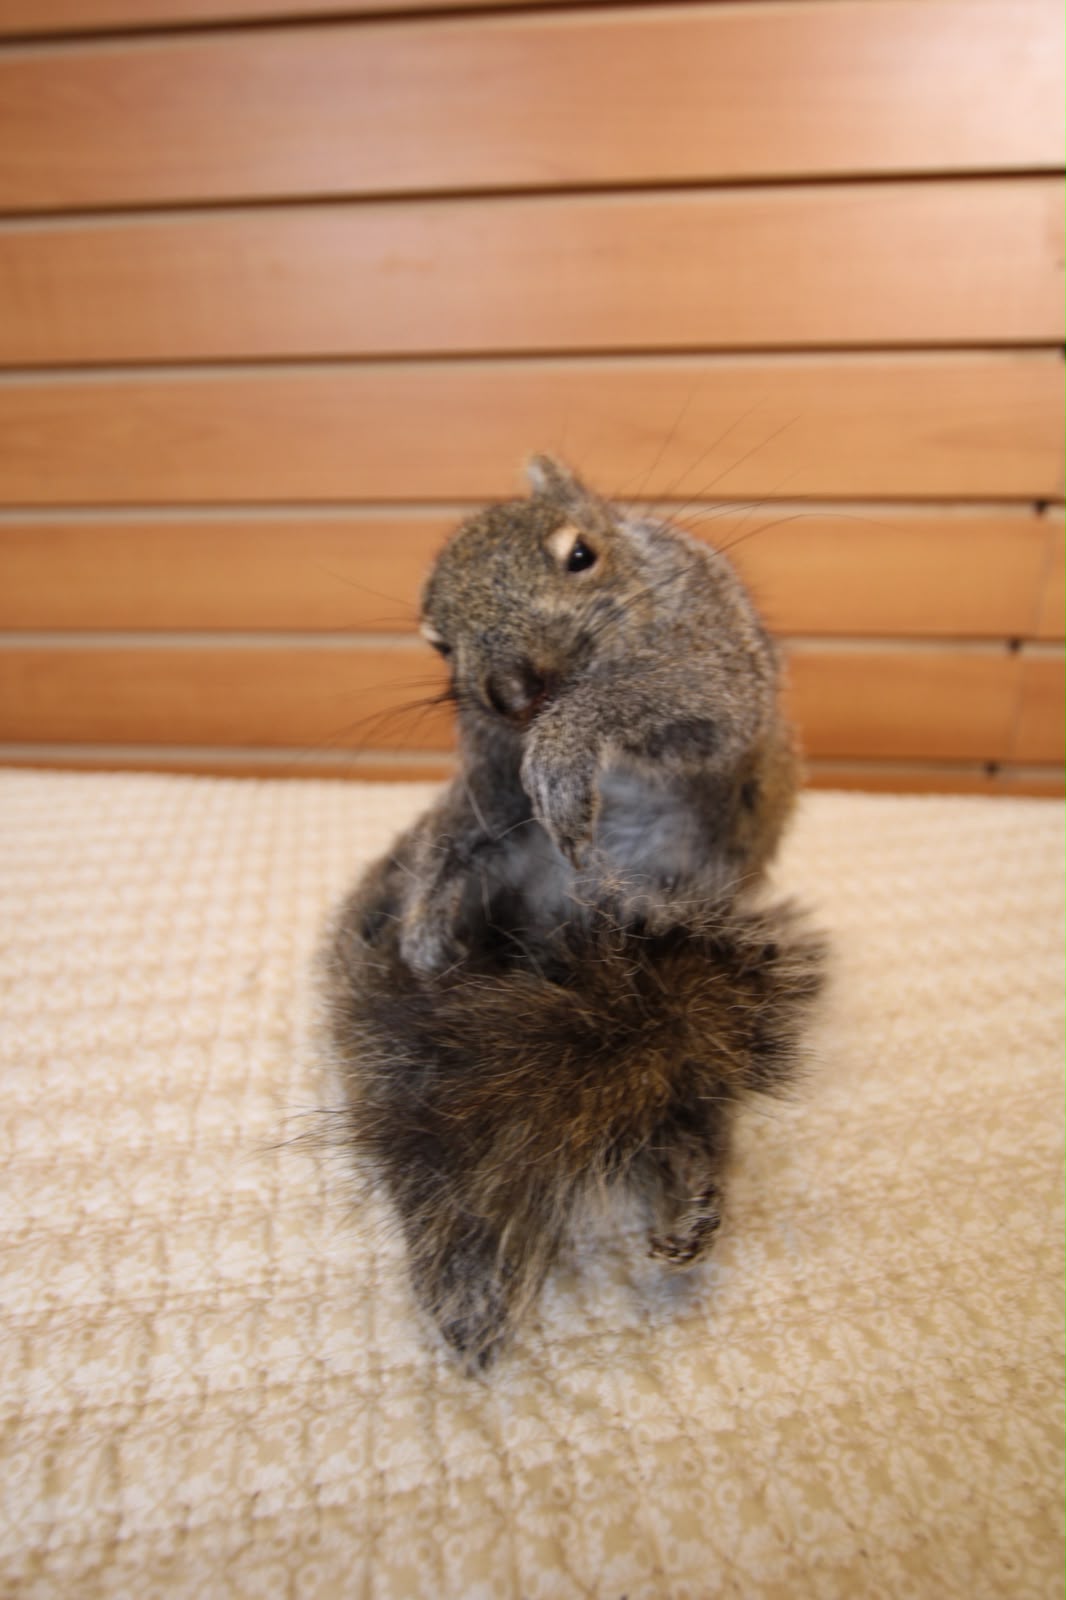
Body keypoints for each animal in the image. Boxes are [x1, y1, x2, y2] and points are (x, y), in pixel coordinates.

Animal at [321, 457, 825, 1370]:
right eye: (437, 643)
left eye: (580, 555)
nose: (510, 691)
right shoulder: (487, 776)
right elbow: (464, 828)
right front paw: (422, 921)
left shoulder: (717, 671)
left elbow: (658, 697)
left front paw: (567, 741)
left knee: (685, 1107)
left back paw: (688, 1186)